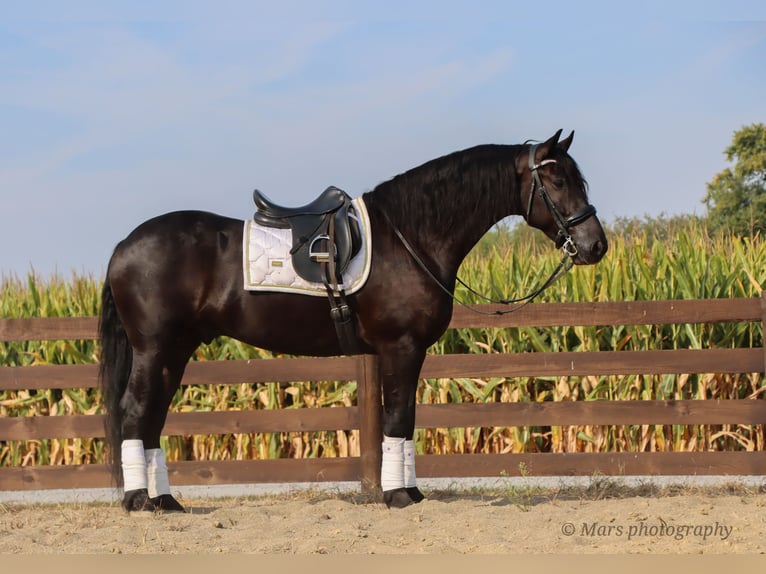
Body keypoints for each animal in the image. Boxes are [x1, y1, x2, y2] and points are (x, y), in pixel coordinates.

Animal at [99, 129, 608, 512]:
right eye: (557, 181)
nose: (596, 245)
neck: (409, 238)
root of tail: (124, 244)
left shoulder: (403, 352)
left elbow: (404, 418)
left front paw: (410, 492)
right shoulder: (400, 347)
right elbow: (398, 417)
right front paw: (398, 496)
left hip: (176, 350)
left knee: (153, 418)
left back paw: (165, 501)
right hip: (154, 348)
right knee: (135, 411)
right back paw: (138, 501)